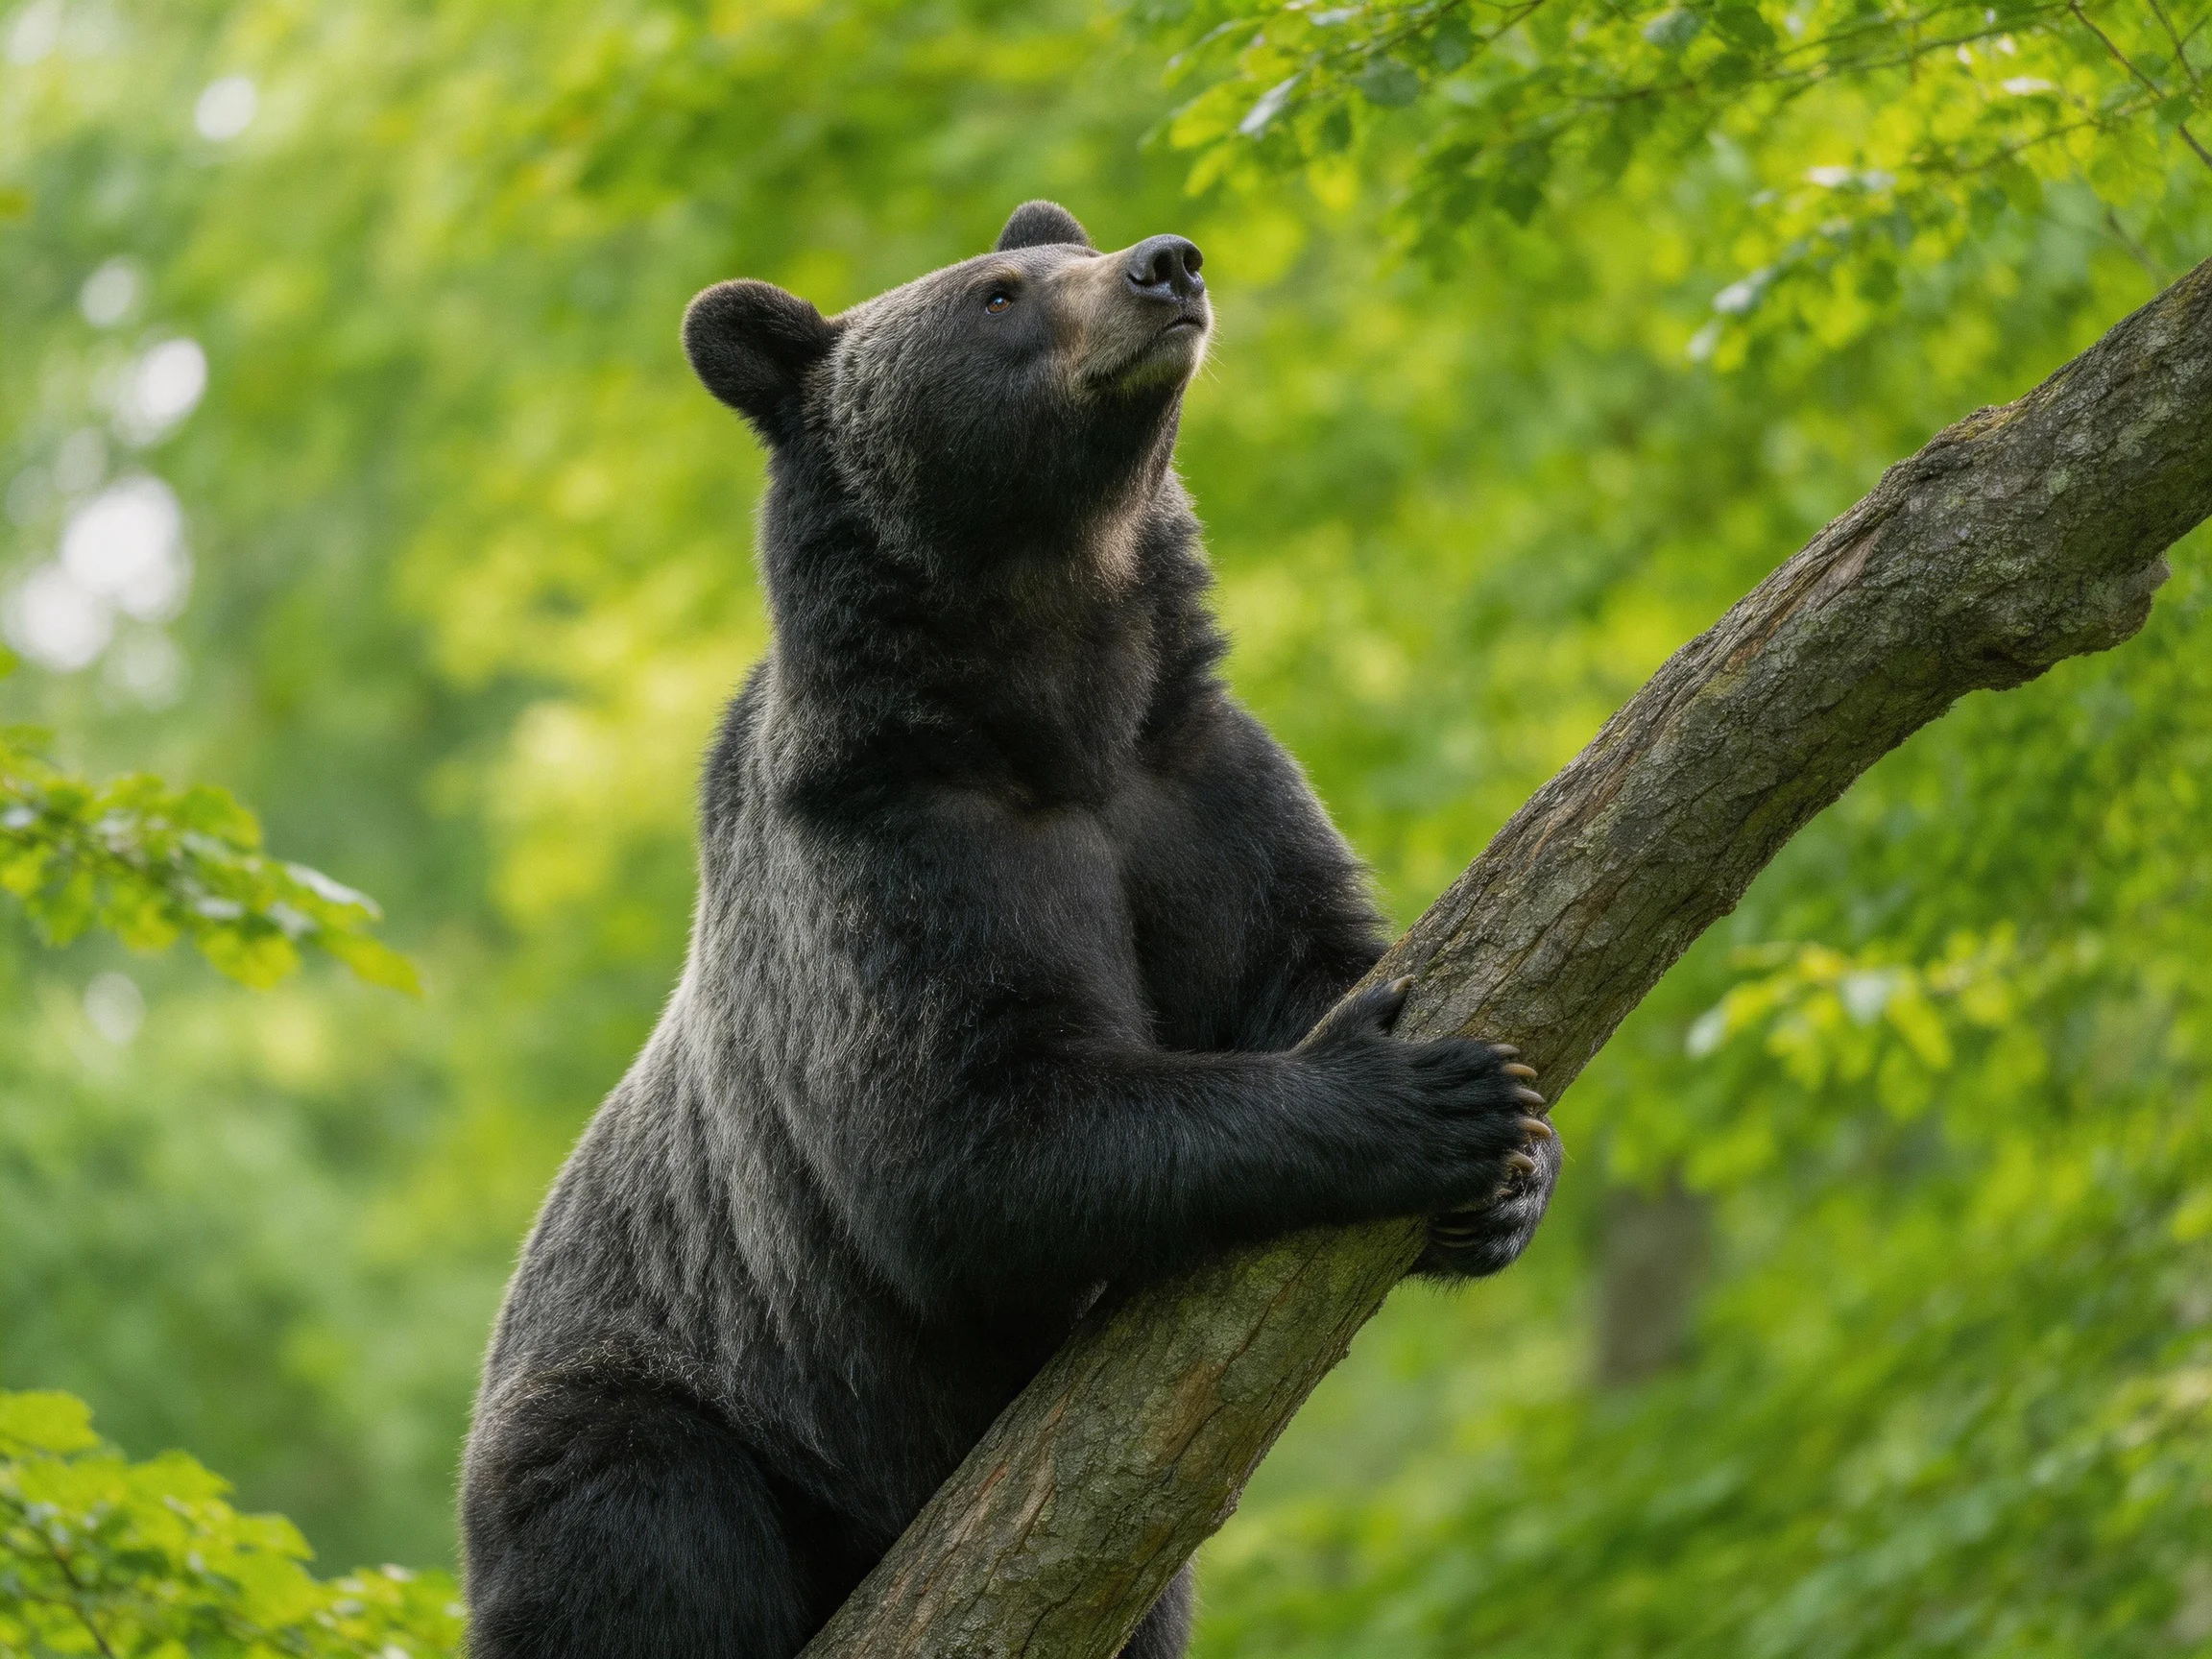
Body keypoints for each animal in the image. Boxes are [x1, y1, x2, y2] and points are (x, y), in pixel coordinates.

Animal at [459, 200, 1561, 1659]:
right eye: (997, 293)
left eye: (1069, 247)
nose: (1167, 265)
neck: (1055, 696)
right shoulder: (896, 849)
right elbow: (963, 1128)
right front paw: (1411, 1094)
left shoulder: (1197, 788)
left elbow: (1305, 953)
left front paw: (1512, 1173)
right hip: (675, 1395)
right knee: (646, 1530)